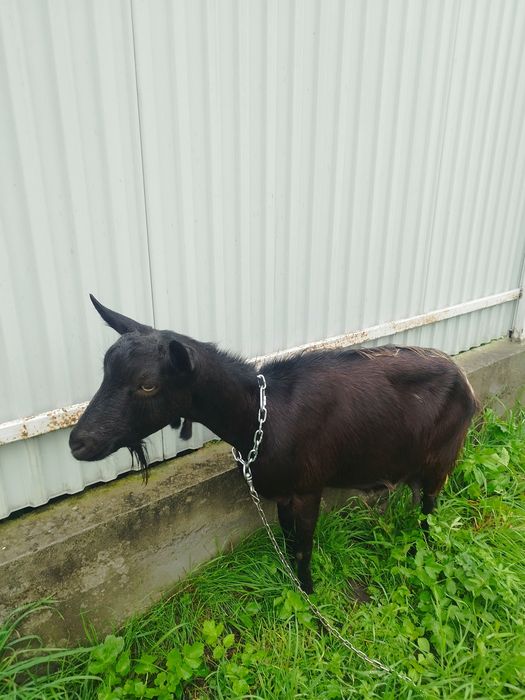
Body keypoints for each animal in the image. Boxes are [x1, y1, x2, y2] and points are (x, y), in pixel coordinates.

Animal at [70, 296, 479, 592]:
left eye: (148, 384)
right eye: (106, 370)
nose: (78, 442)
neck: (261, 415)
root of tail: (464, 380)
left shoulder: (309, 488)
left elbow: (303, 545)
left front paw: (309, 593)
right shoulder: (282, 491)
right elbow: (286, 535)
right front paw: (290, 579)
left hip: (442, 458)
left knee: (429, 508)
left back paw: (423, 548)